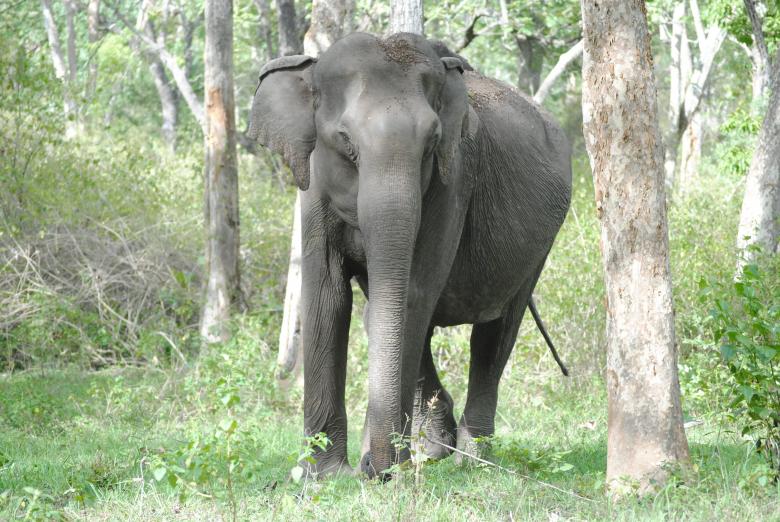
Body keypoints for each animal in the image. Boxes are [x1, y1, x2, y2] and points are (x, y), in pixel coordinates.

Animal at [248, 32, 572, 479]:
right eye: (345, 140)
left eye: (432, 143)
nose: (372, 469)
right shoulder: (313, 187)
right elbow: (330, 297)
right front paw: (322, 476)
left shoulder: (454, 180)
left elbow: (414, 294)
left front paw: (383, 469)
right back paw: (435, 448)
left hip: (539, 246)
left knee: (494, 333)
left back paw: (470, 460)